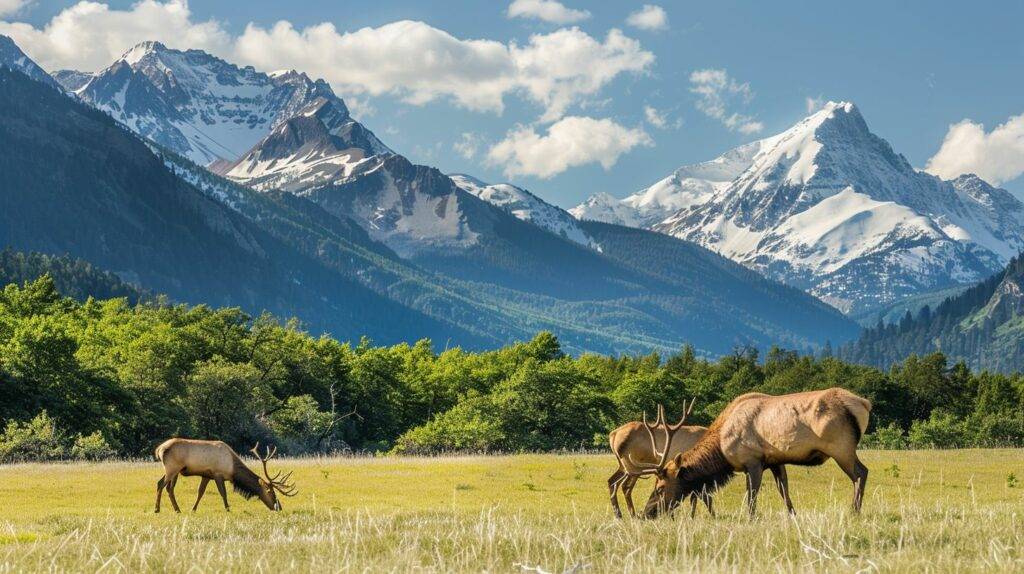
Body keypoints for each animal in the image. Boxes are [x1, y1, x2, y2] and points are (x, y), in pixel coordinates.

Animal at [154, 438, 297, 513]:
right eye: (270, 492)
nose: (279, 508)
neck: (232, 469)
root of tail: (159, 449)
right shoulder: (218, 473)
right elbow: (223, 493)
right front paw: (228, 509)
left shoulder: (207, 475)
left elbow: (200, 492)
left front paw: (193, 509)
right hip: (172, 468)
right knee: (161, 484)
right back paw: (157, 509)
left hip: (175, 471)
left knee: (169, 488)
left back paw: (177, 509)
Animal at [641, 388, 871, 519]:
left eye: (660, 488)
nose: (646, 513)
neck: (722, 449)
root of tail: (863, 403)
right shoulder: (776, 460)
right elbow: (784, 490)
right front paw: (793, 515)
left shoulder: (752, 460)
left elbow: (751, 494)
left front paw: (750, 518)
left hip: (841, 446)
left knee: (860, 473)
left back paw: (854, 512)